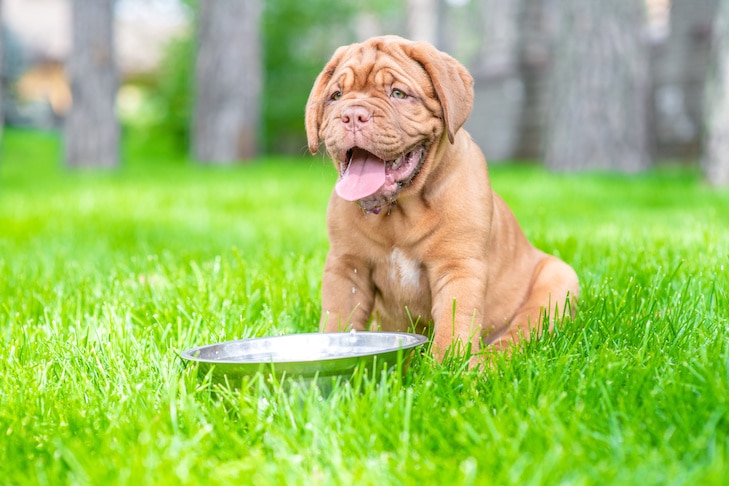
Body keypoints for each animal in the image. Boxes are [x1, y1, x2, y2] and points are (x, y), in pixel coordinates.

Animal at [304, 35, 576, 360]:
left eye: (398, 93)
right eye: (335, 96)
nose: (352, 115)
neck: (398, 212)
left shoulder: (458, 266)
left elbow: (453, 325)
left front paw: (447, 367)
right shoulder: (347, 267)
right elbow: (338, 321)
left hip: (558, 282)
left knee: (521, 332)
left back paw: (488, 363)